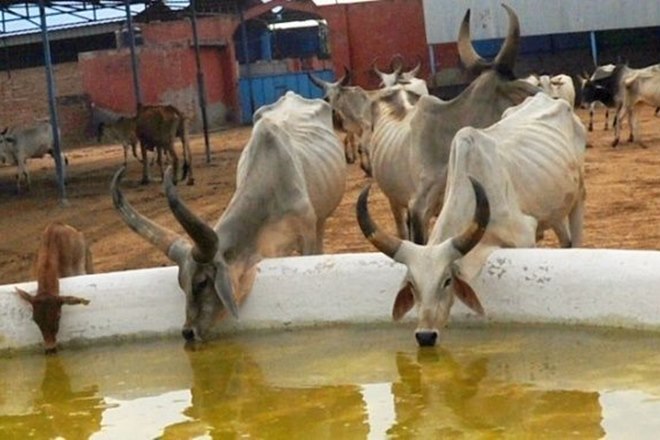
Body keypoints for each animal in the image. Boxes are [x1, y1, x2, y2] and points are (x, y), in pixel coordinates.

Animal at [357, 93, 587, 347]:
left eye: (447, 281)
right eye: (412, 285)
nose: (425, 335)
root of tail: (547, 97)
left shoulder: (524, 237)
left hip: (578, 195)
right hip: (552, 208)